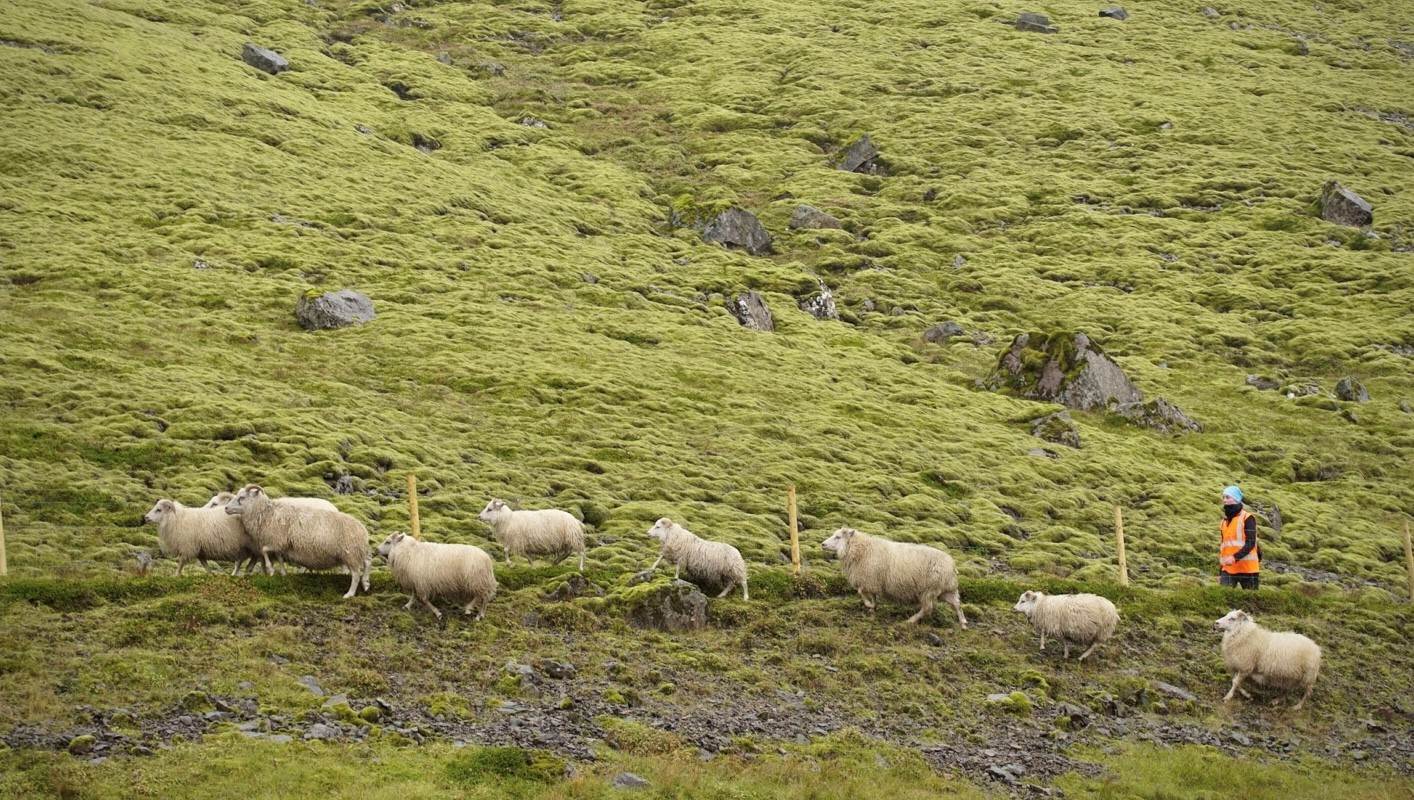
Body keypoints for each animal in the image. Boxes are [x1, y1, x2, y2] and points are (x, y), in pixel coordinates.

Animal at [221, 486, 370, 599]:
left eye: (242, 498)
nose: (226, 508)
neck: (266, 514)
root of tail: (362, 530)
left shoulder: (277, 539)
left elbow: (264, 550)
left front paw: (270, 569)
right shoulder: (281, 544)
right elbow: (279, 557)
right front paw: (282, 572)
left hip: (350, 553)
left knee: (356, 575)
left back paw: (349, 594)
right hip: (355, 552)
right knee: (367, 563)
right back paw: (366, 583)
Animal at [825, 528, 967, 630]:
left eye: (838, 537)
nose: (822, 544)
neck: (861, 549)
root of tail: (952, 565)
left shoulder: (869, 580)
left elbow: (861, 592)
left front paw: (869, 605)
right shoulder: (873, 582)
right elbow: (872, 596)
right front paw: (873, 607)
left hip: (930, 589)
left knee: (927, 608)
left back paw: (911, 620)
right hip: (946, 590)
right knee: (957, 604)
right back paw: (963, 623)